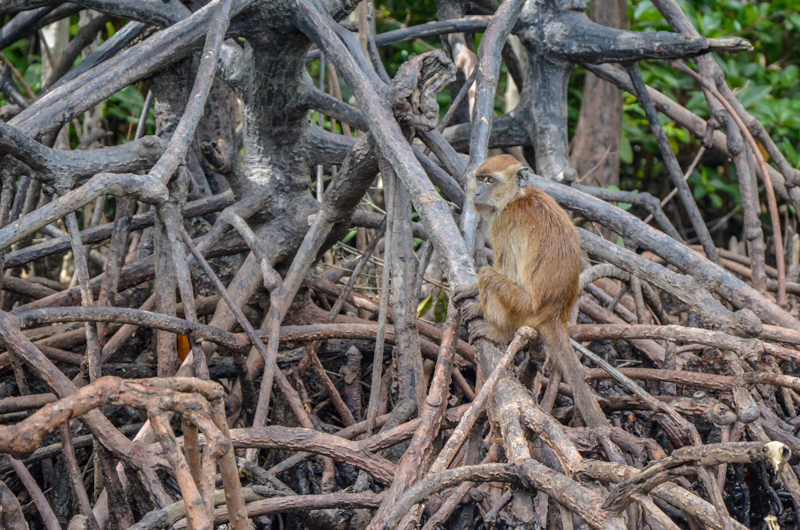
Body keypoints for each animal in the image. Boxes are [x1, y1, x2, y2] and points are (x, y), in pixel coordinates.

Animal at [462, 153, 608, 428]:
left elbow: (505, 269)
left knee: (488, 275)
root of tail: (556, 313)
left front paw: (473, 298)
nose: (477, 193)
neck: (517, 197)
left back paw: (498, 333)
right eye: (480, 178)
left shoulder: (503, 223)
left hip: (522, 308)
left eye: (490, 180)